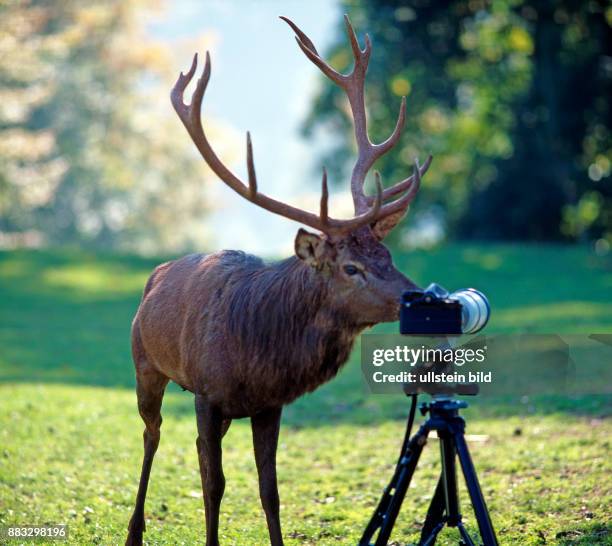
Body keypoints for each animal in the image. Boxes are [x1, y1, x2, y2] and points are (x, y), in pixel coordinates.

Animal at [124, 14, 430, 544]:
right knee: (152, 435)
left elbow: (270, 490)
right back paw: (134, 529)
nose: (417, 296)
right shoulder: (207, 394)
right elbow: (214, 485)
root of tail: (158, 274)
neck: (256, 357)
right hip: (146, 363)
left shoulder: (269, 405)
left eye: (387, 253)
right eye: (350, 267)